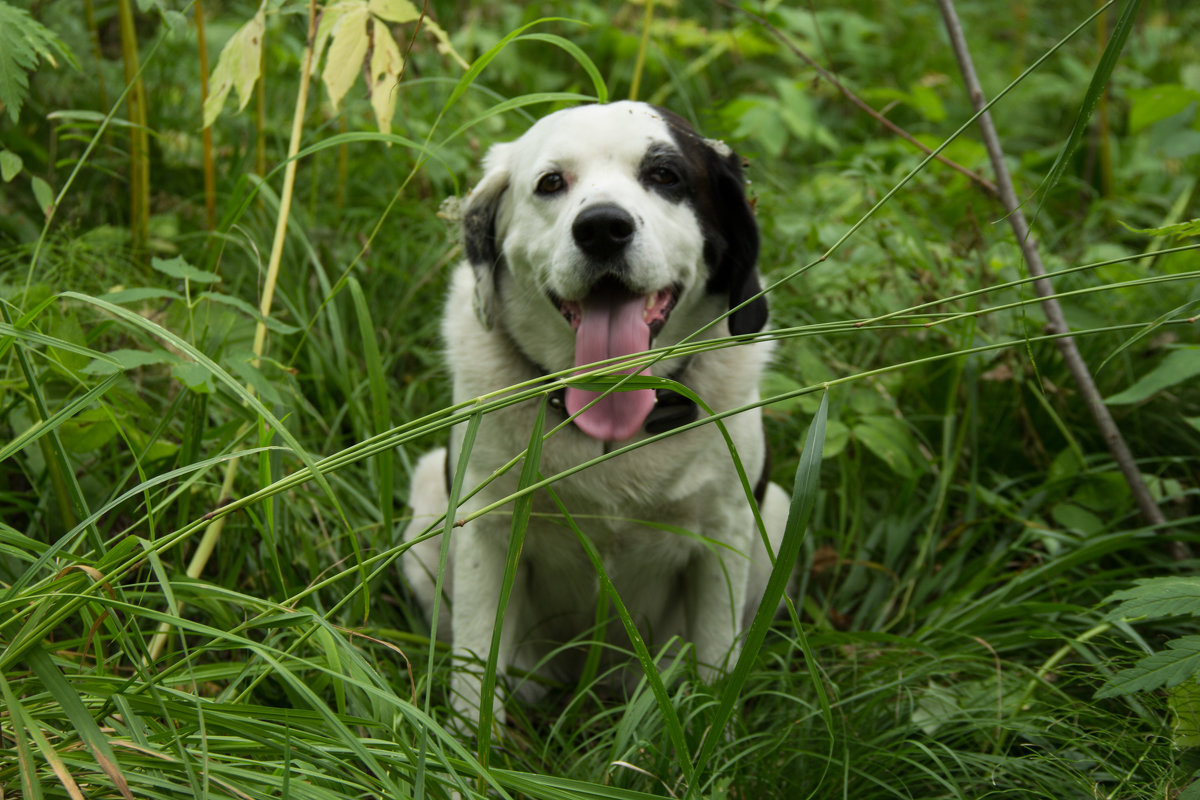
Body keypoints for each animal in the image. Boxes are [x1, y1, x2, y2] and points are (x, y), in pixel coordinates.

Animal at [403, 101, 792, 734]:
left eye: (665, 175)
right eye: (551, 183)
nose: (603, 227)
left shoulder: (723, 538)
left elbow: (716, 662)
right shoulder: (487, 532)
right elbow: (474, 668)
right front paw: (465, 749)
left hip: (774, 514)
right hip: (427, 516)